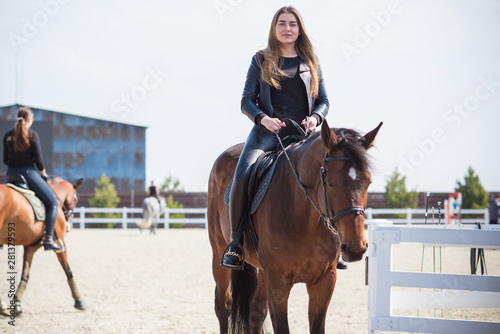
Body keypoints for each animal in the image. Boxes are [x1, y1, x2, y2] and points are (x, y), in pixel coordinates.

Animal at [0, 177, 84, 316]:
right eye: (76, 199)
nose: (69, 225)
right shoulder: (61, 245)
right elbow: (68, 271)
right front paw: (79, 301)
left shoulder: (30, 248)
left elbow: (25, 275)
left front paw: (17, 304)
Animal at [207, 120, 382, 334]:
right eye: (331, 183)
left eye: (368, 182)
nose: (356, 248)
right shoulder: (278, 284)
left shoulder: (324, 282)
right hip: (219, 253)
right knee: (223, 305)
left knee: (256, 310)